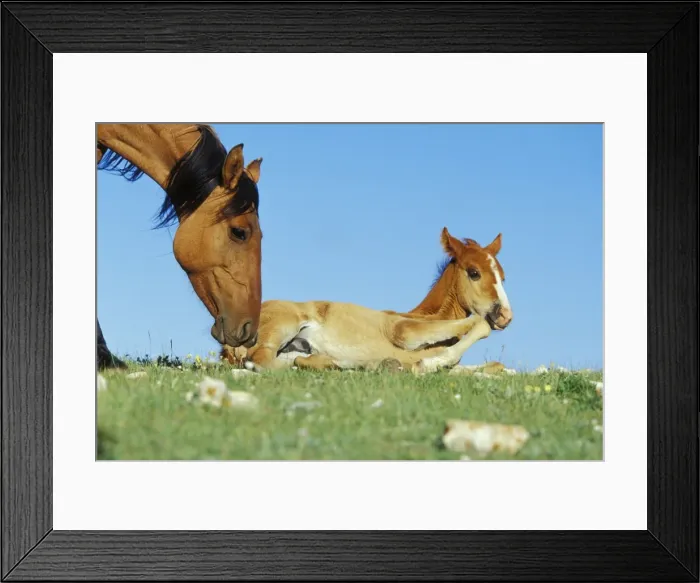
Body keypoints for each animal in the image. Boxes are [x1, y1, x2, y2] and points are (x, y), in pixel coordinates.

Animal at [220, 228, 512, 373]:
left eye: (503, 276)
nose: (505, 316)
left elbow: (494, 366)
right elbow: (478, 325)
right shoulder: (403, 332)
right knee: (262, 359)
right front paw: (420, 364)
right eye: (474, 272)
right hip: (283, 324)